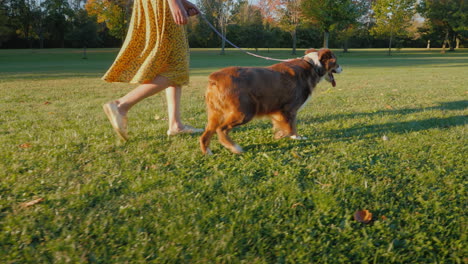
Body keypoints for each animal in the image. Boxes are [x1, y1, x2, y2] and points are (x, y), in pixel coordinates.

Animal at [199, 48, 342, 155]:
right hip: (245, 112)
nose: (342, 68)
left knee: (206, 133)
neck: (312, 65)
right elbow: (291, 126)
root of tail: (215, 77)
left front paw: (283, 134)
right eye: (336, 62)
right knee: (221, 129)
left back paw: (207, 152)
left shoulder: (279, 110)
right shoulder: (290, 109)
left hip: (215, 114)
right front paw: (292, 136)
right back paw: (234, 147)